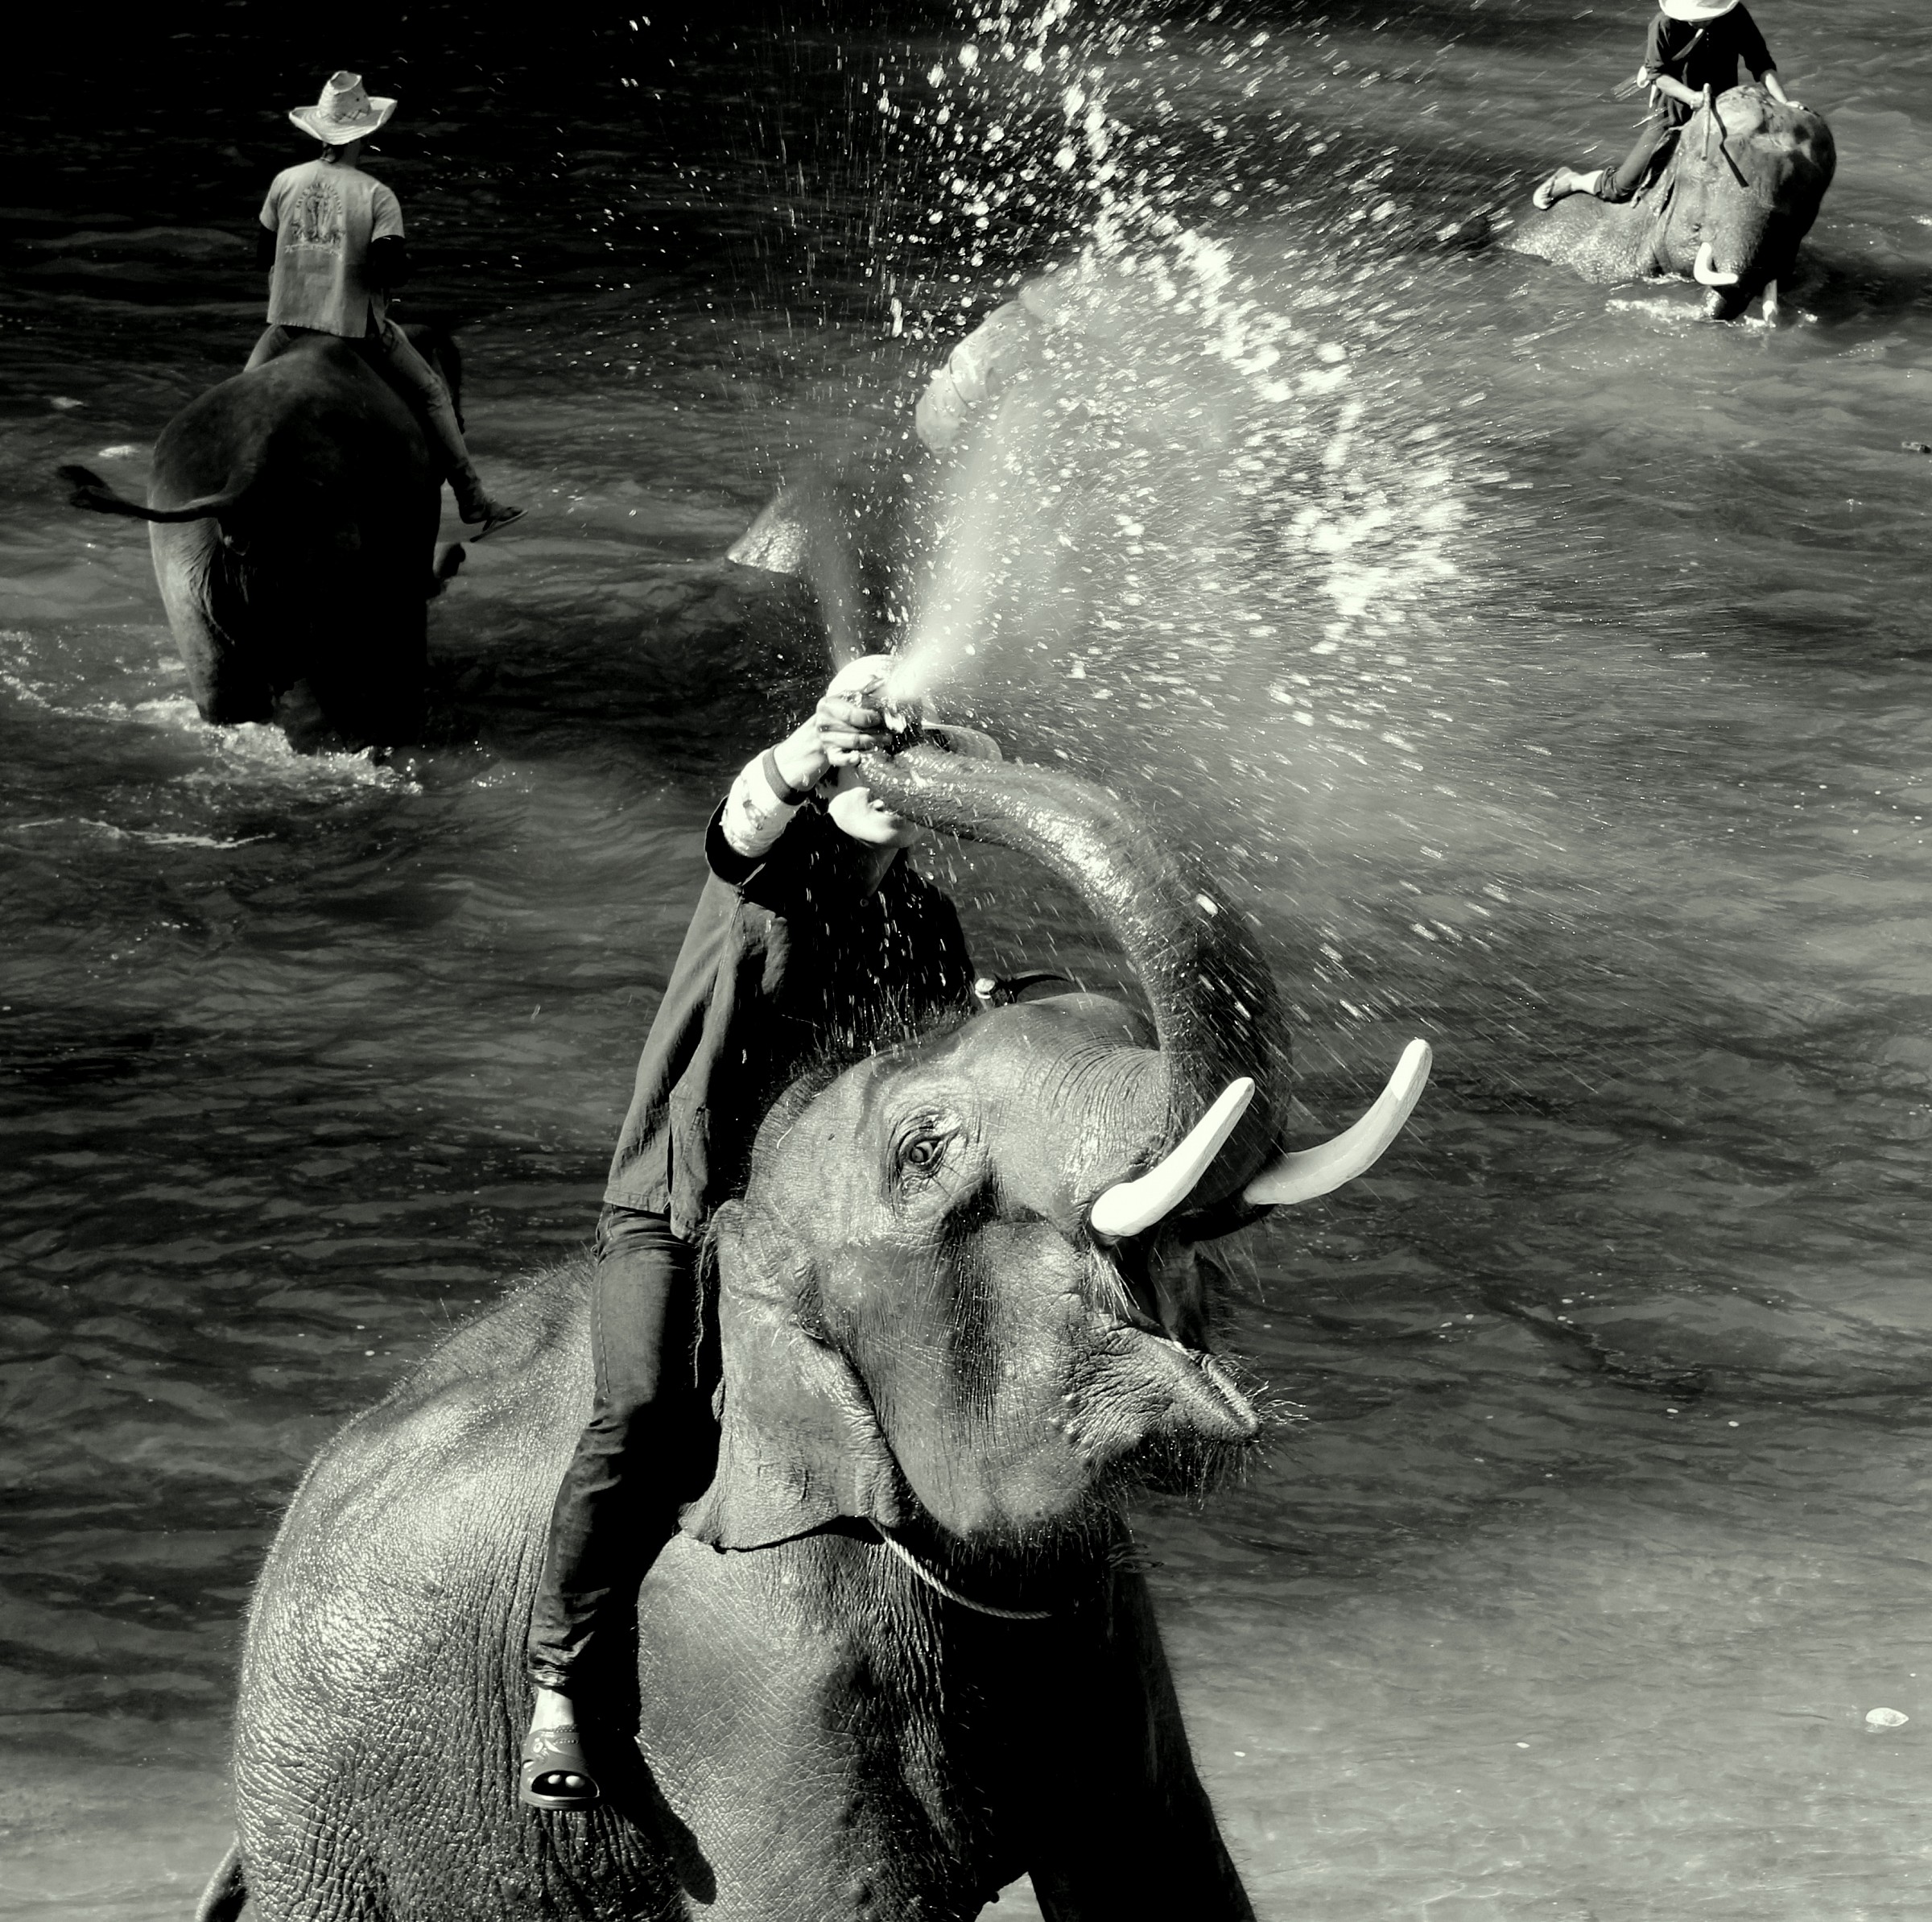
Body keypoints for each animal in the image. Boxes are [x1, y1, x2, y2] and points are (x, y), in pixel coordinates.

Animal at [59, 326, 465, 745]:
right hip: (324, 553)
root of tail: (248, 467)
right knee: (354, 689)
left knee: (225, 690)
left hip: (184, 566)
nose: (458, 552)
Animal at [212, 745, 1430, 1922]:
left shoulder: (1099, 1616)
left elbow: (1158, 1869)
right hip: (331, 1832)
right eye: (926, 1150)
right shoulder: (739, 1650)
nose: (888, 744)